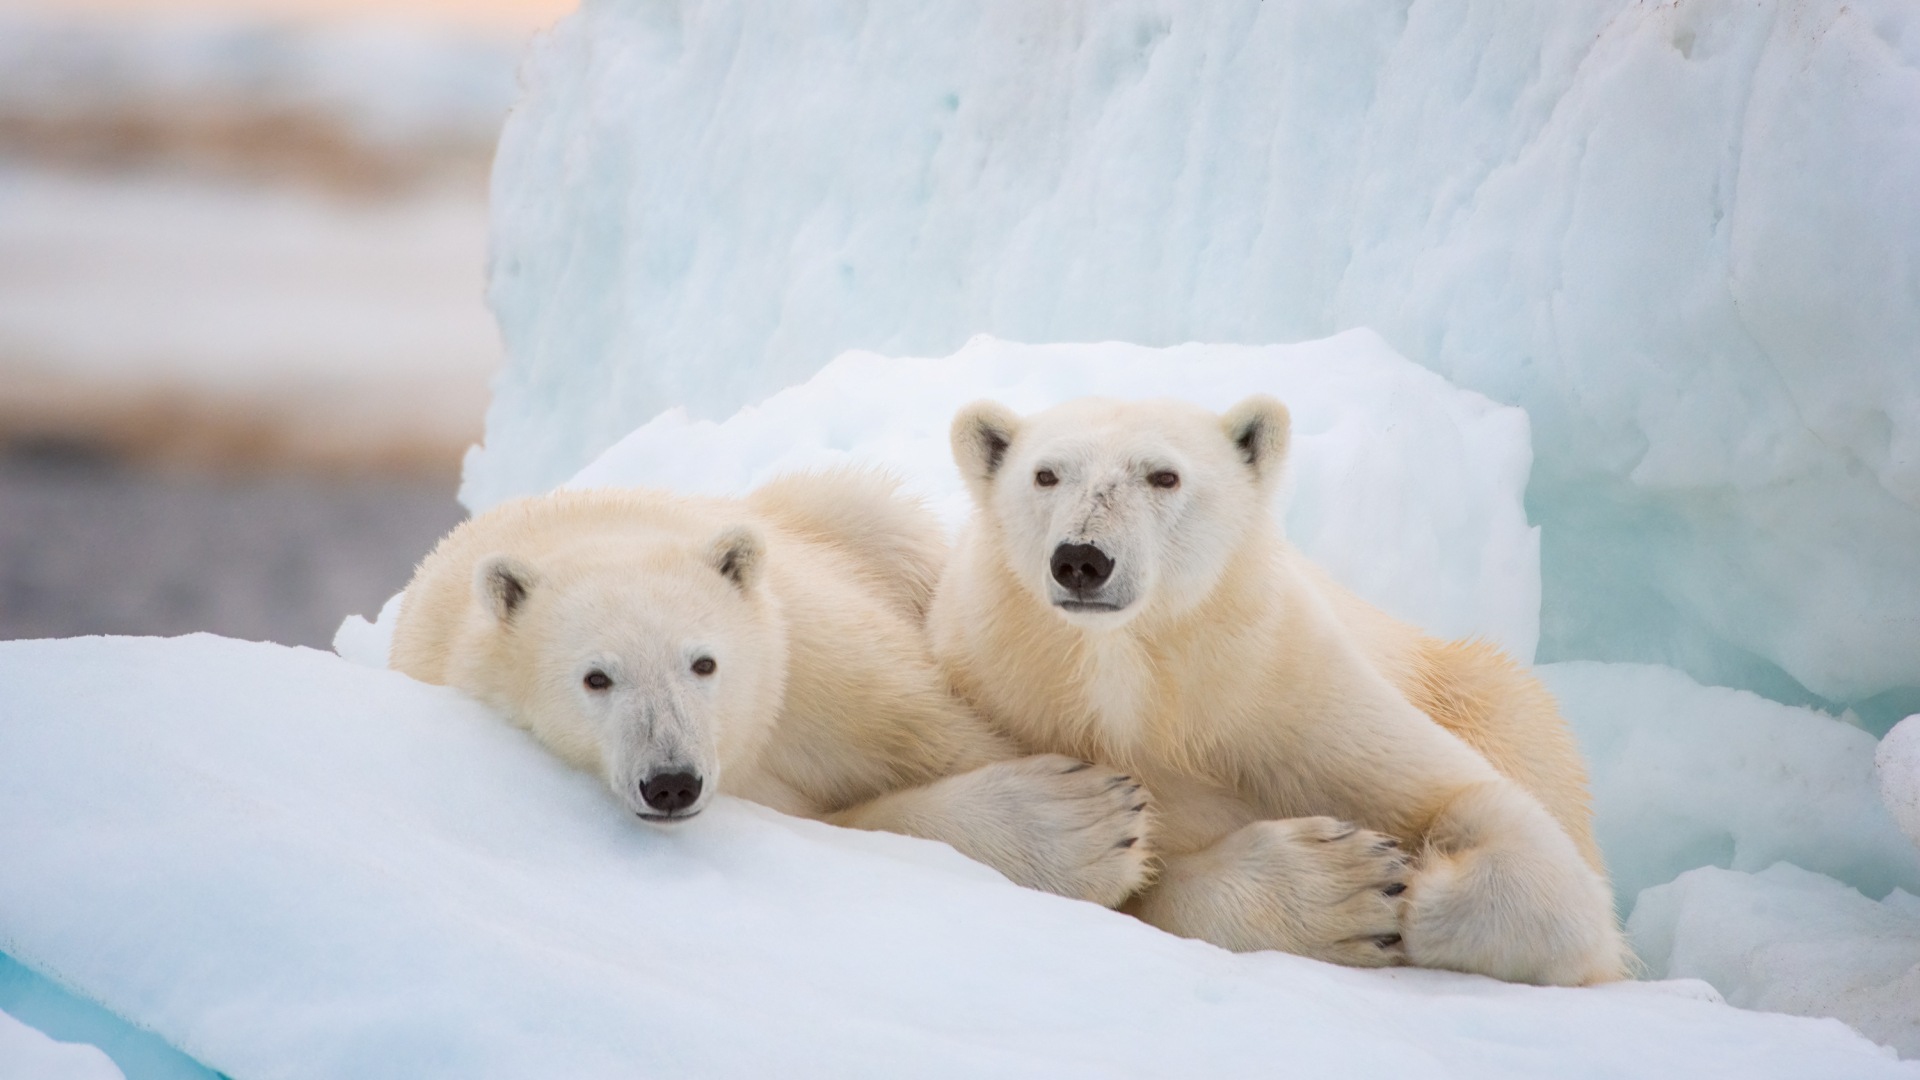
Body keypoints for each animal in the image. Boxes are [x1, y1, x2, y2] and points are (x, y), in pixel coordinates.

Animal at [389, 468, 1152, 908]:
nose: (672, 781)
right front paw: (1089, 823)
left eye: (704, 663)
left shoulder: (815, 661)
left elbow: (946, 732)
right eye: (595, 678)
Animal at [928, 395, 1628, 986]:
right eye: (1045, 475)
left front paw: (1416, 885)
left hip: (1474, 689)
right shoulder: (1009, 693)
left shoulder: (1284, 690)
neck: (1136, 680)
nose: (1082, 559)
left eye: (1164, 476)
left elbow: (1475, 803)